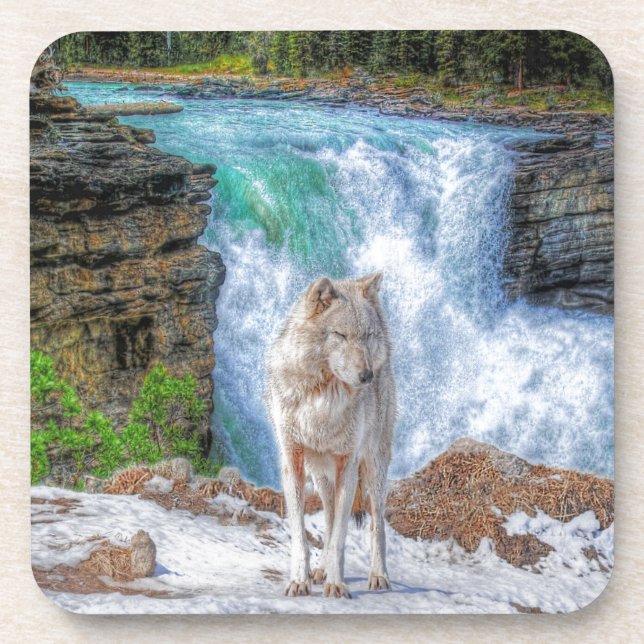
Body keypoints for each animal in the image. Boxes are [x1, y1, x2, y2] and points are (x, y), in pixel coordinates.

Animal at [265, 272, 396, 599]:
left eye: (368, 336)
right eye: (341, 335)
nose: (367, 376)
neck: (323, 400)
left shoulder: (347, 464)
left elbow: (340, 535)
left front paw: (336, 585)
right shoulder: (293, 462)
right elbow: (301, 535)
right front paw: (299, 580)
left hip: (373, 470)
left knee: (376, 524)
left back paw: (378, 576)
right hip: (321, 476)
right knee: (329, 515)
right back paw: (322, 570)